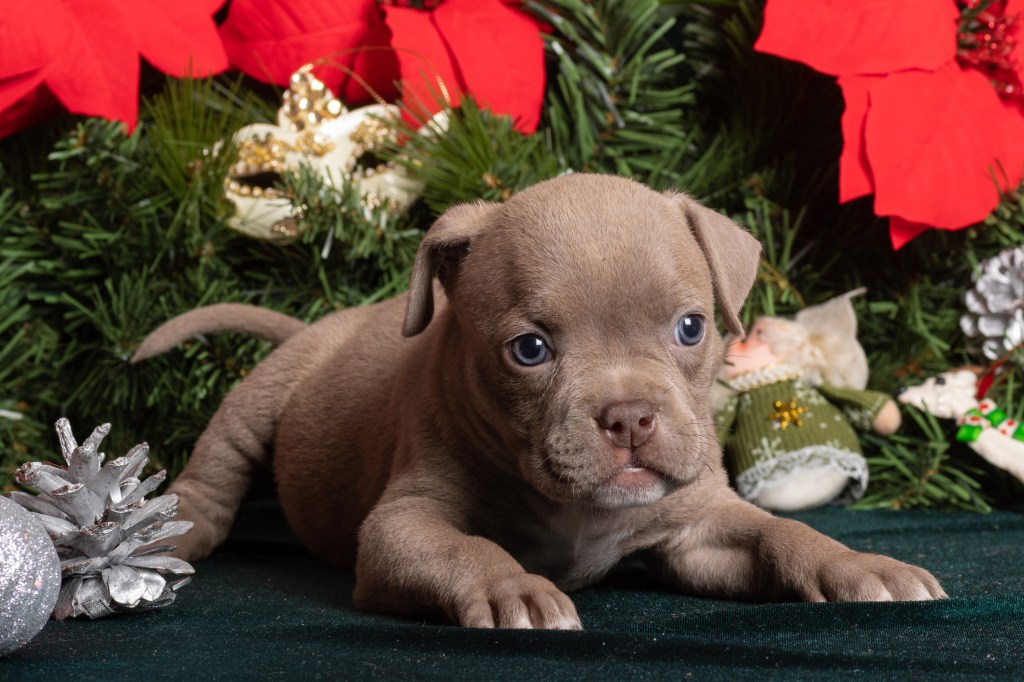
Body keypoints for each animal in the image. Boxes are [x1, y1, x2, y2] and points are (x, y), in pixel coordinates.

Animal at [134, 174, 942, 626]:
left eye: (692, 327)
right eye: (530, 350)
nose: (629, 417)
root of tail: (319, 326)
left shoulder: (699, 528)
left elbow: (782, 533)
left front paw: (858, 566)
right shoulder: (405, 524)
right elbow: (465, 546)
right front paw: (512, 588)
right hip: (260, 398)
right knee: (217, 470)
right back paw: (170, 533)